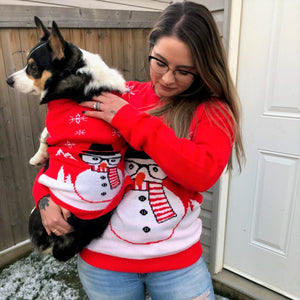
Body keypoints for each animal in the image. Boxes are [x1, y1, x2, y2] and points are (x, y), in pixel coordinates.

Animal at [6, 17, 130, 260]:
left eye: (32, 67)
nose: (8, 80)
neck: (75, 72)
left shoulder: (54, 120)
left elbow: (45, 133)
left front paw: (37, 157)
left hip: (35, 213)